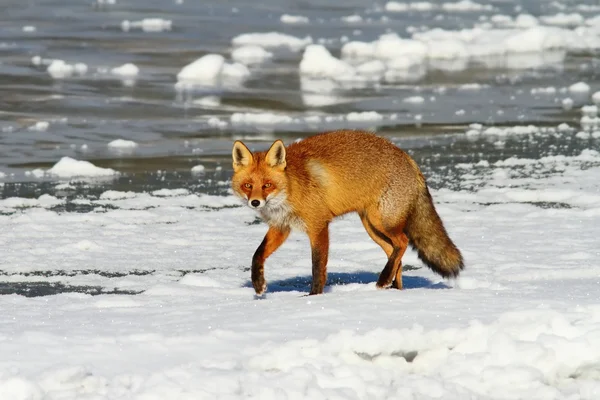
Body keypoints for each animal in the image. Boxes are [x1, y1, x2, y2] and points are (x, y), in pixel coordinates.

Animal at [231, 130, 464, 296]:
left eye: (267, 185)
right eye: (248, 185)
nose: (255, 202)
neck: (292, 187)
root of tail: (408, 158)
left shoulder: (318, 225)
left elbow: (317, 266)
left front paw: (313, 296)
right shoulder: (281, 227)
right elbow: (257, 254)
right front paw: (258, 284)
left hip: (382, 221)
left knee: (403, 242)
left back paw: (384, 280)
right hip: (372, 226)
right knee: (394, 251)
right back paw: (394, 289)